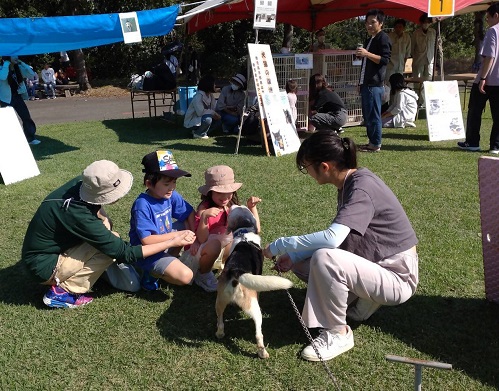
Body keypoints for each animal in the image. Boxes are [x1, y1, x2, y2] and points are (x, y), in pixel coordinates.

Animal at [216, 207, 292, 360]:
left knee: (220, 320)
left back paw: (219, 333)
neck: (244, 233)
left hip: (219, 301)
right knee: (258, 334)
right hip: (255, 309)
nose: (232, 206)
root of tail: (236, 271)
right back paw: (262, 353)